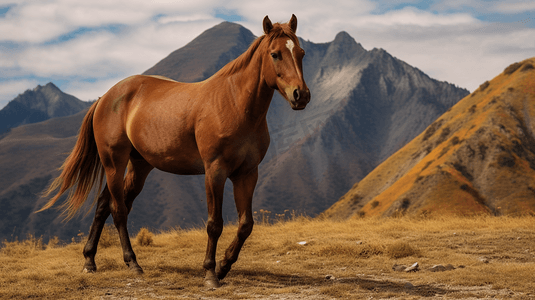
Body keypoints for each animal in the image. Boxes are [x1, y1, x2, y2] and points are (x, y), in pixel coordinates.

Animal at [38, 14, 310, 288]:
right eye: (275, 54)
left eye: (301, 53)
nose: (301, 95)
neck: (234, 104)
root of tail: (105, 97)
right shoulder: (215, 171)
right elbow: (214, 224)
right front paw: (210, 273)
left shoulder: (247, 174)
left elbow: (246, 225)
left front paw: (224, 266)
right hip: (114, 163)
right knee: (118, 210)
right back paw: (133, 264)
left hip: (138, 166)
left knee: (104, 205)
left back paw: (89, 261)